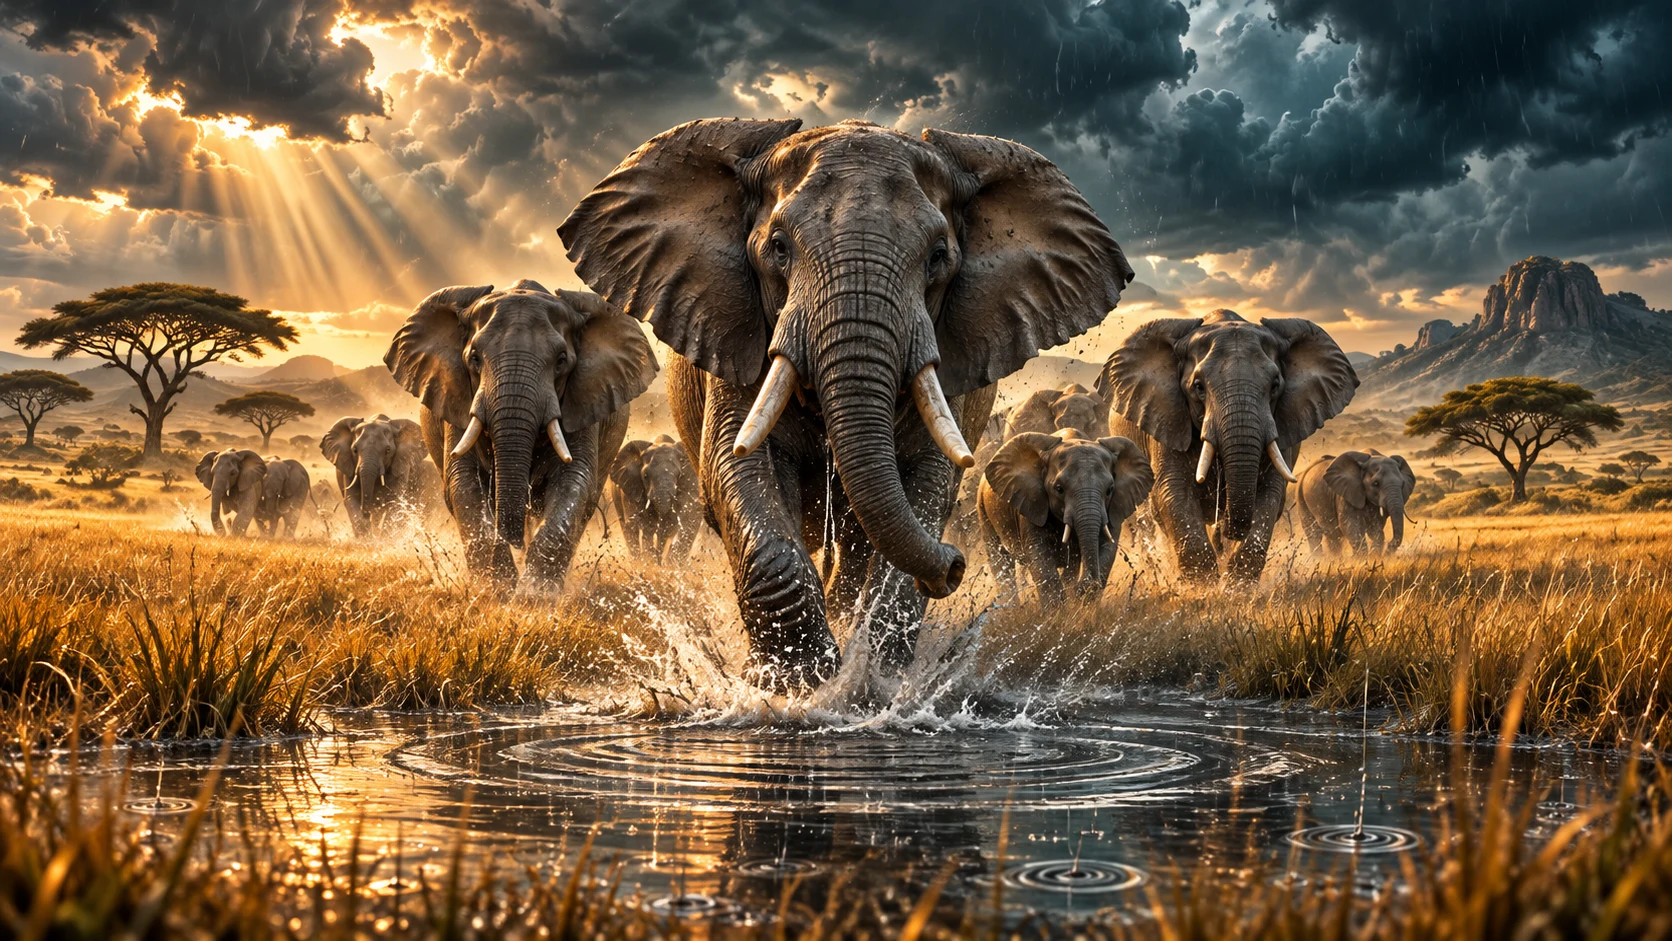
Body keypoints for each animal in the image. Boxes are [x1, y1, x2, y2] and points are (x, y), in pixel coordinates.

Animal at [385, 280, 656, 589]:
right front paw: (497, 589)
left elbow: (574, 481)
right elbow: (463, 482)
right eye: (474, 358)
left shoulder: (584, 398)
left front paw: (535, 594)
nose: (513, 540)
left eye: (561, 360)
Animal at [559, 118, 1131, 685]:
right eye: (779, 248)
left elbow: (925, 482)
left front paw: (875, 681)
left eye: (938, 257)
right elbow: (736, 467)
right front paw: (795, 684)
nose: (954, 565)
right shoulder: (738, 331)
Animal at [978, 430, 1152, 603]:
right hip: (982, 509)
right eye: (1059, 489)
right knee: (1000, 561)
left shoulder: (1114, 507)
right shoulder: (1032, 502)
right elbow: (1039, 555)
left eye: (1110, 489)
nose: (1084, 586)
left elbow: (1107, 547)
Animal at [1096, 309, 1357, 583]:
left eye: (1275, 386)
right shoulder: (1167, 418)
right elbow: (1171, 492)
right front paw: (1202, 588)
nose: (1232, 528)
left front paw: (1235, 587)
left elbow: (1270, 494)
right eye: (1198, 387)